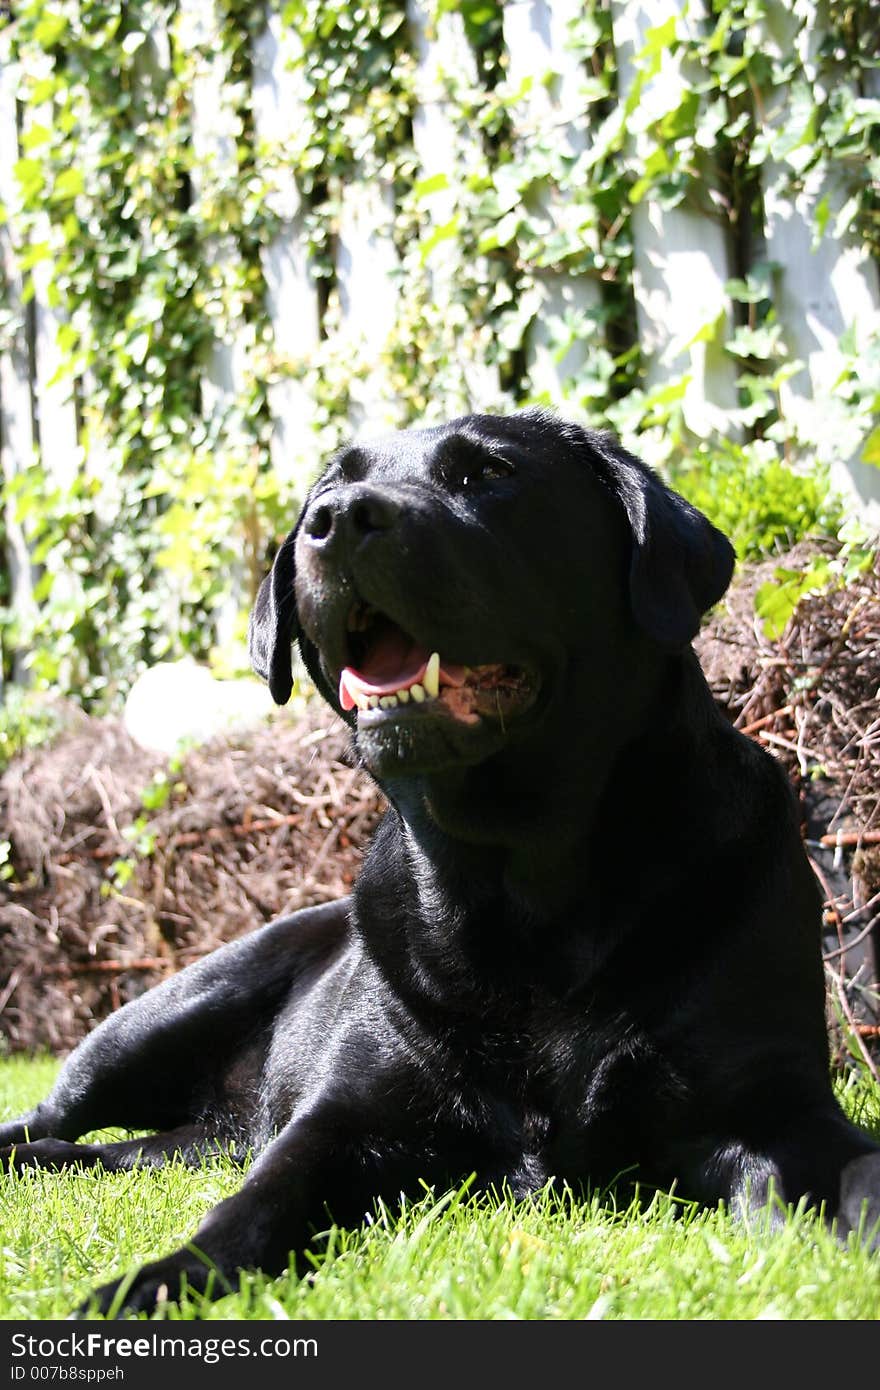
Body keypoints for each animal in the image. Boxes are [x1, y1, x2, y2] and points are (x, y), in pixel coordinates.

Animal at [1, 405, 878, 1312]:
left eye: (488, 473)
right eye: (326, 490)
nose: (336, 520)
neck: (523, 888)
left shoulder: (769, 1107)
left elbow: (854, 1175)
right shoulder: (342, 1119)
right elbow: (252, 1208)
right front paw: (151, 1285)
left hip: (206, 1130)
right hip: (162, 1016)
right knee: (53, 1115)